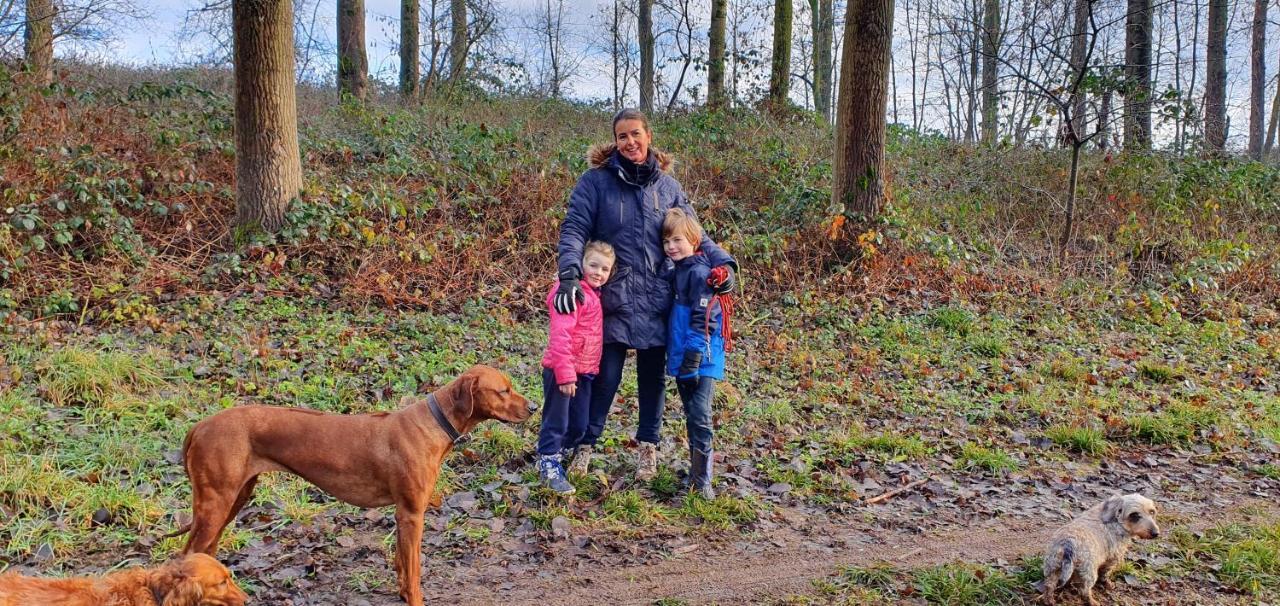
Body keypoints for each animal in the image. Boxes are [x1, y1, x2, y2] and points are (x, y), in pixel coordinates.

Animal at [172, 363, 532, 604]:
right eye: (503, 390)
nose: (533, 407)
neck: (433, 424)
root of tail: (200, 426)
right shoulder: (412, 513)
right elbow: (415, 568)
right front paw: (415, 598)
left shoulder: (402, 514)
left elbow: (401, 562)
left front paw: (401, 592)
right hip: (216, 501)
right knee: (186, 556)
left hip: (236, 498)